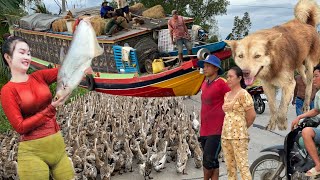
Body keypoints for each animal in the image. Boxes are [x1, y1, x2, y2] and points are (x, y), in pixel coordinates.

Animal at [225, 0, 320, 130]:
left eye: (257, 56)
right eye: (240, 56)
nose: (245, 72)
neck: (273, 65)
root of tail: (308, 24)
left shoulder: (289, 84)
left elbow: (282, 106)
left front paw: (282, 124)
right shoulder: (267, 86)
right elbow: (273, 107)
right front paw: (272, 124)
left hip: (309, 64)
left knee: (309, 84)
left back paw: (306, 105)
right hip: (299, 64)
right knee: (304, 80)